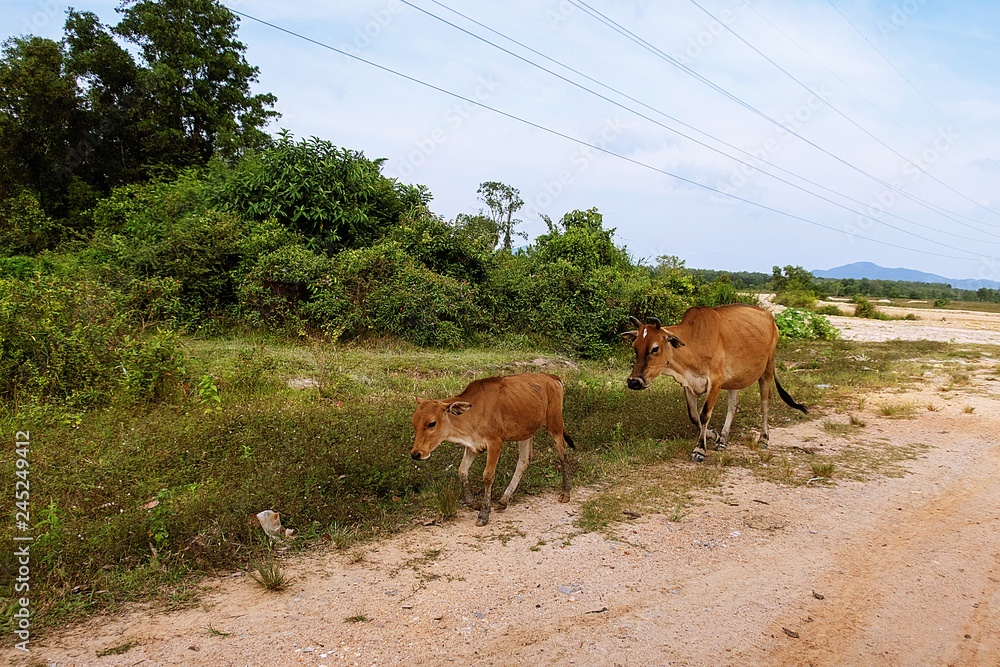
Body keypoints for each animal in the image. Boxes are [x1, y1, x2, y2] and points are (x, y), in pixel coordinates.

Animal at [410, 373, 575, 526]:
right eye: (413, 422)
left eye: (431, 423)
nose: (416, 453)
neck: (472, 413)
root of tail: (551, 377)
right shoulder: (473, 446)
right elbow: (462, 470)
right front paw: (473, 502)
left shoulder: (495, 442)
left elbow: (488, 476)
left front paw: (484, 514)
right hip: (525, 432)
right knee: (524, 460)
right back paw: (504, 500)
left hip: (555, 425)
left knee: (563, 454)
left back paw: (565, 493)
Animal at [621, 304, 807, 462]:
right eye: (635, 347)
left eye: (655, 348)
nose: (634, 381)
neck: (694, 342)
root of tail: (770, 318)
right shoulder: (687, 384)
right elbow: (694, 416)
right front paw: (714, 435)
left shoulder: (715, 381)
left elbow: (704, 414)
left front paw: (699, 450)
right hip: (735, 380)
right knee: (733, 405)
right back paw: (723, 440)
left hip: (767, 368)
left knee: (765, 403)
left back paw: (763, 439)